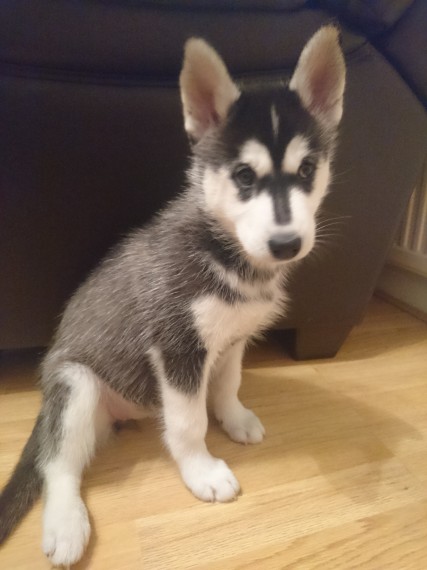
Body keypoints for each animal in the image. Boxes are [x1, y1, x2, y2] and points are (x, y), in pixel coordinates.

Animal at [0, 27, 346, 567]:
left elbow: (226, 385)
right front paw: (201, 469)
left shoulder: (232, 340)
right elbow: (187, 421)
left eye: (308, 168)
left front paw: (234, 418)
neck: (225, 253)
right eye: (244, 176)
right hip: (76, 385)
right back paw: (65, 522)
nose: (287, 244)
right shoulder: (177, 348)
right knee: (57, 464)